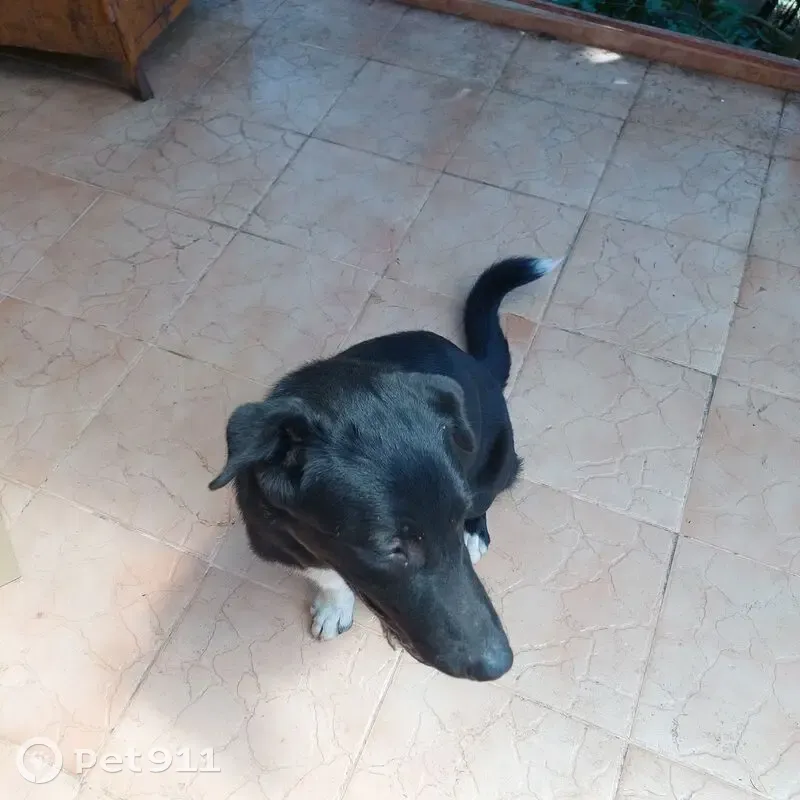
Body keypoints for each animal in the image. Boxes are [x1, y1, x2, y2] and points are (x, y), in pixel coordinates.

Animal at [209, 256, 560, 681]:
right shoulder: (272, 540)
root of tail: (479, 367)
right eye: (390, 548)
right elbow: (328, 575)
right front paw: (335, 605)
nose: (500, 665)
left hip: (498, 465)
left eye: (453, 521)